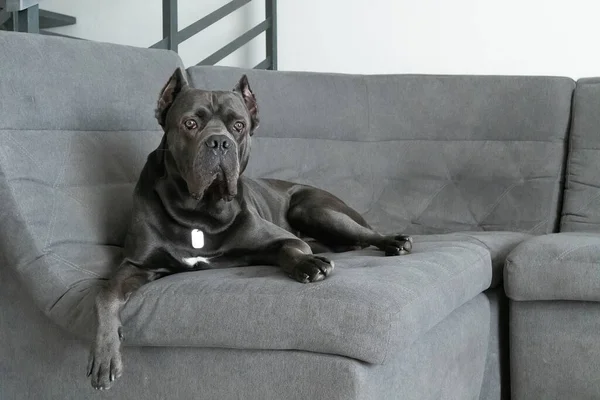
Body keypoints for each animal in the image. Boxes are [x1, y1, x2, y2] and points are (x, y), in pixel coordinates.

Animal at [85, 69, 412, 390]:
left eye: (238, 125)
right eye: (190, 123)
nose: (219, 142)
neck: (199, 210)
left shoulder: (279, 239)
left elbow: (291, 249)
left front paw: (308, 264)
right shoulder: (136, 264)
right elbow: (105, 294)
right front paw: (105, 355)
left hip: (313, 209)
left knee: (366, 234)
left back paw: (394, 242)